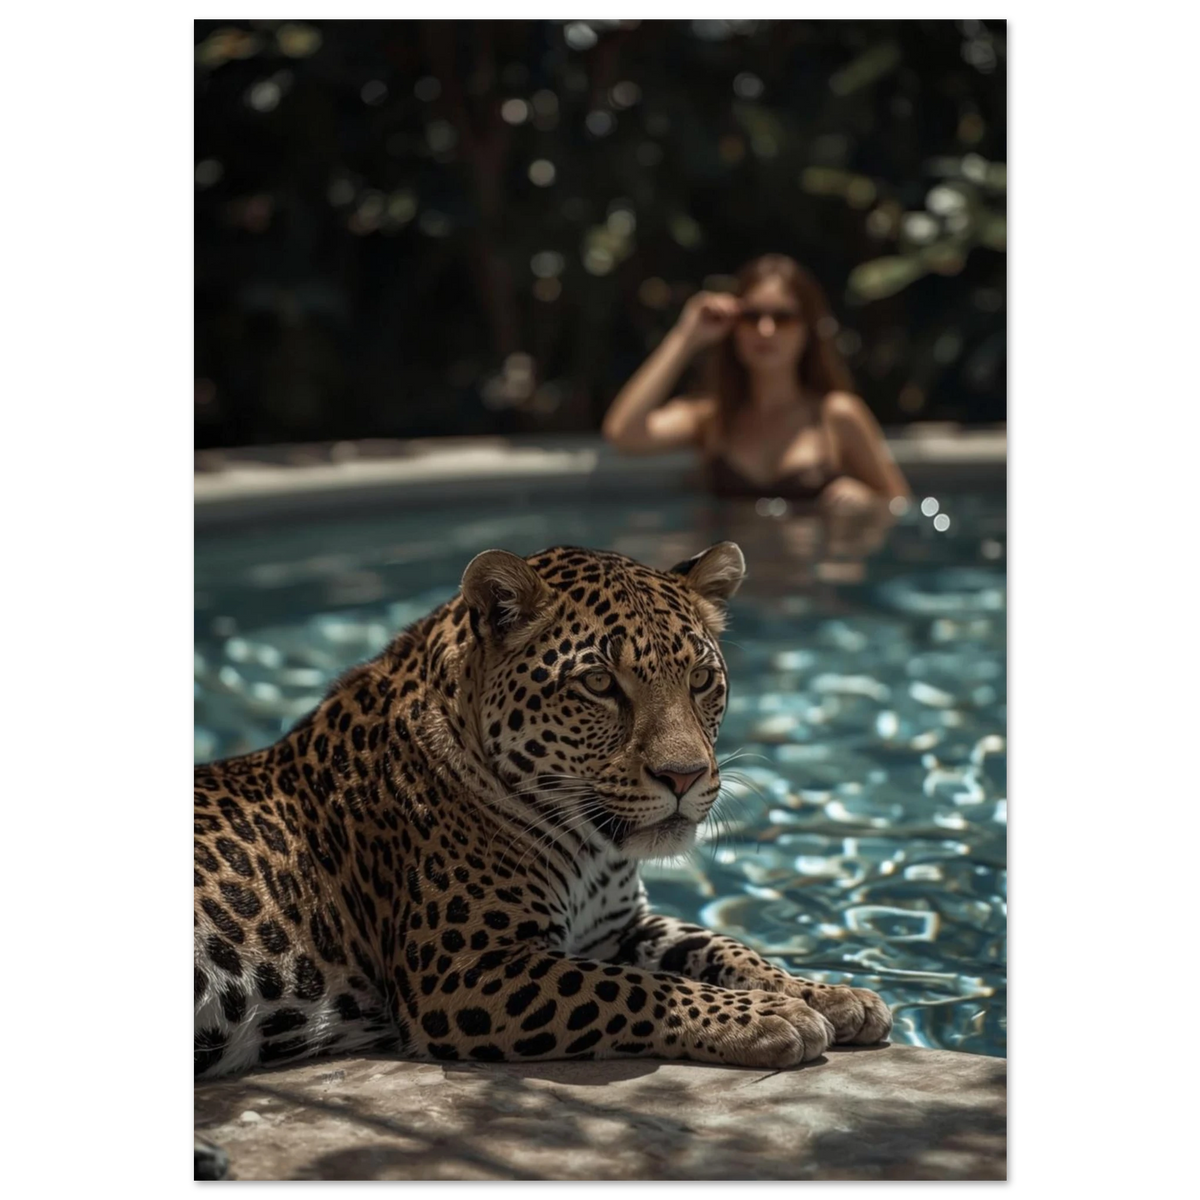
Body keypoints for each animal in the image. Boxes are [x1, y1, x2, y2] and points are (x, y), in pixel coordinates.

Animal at [192, 542, 891, 1171]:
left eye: (700, 680)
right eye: (599, 683)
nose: (685, 776)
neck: (592, 848)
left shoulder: (618, 927)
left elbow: (718, 946)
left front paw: (826, 994)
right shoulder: (461, 970)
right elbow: (634, 988)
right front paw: (771, 1017)